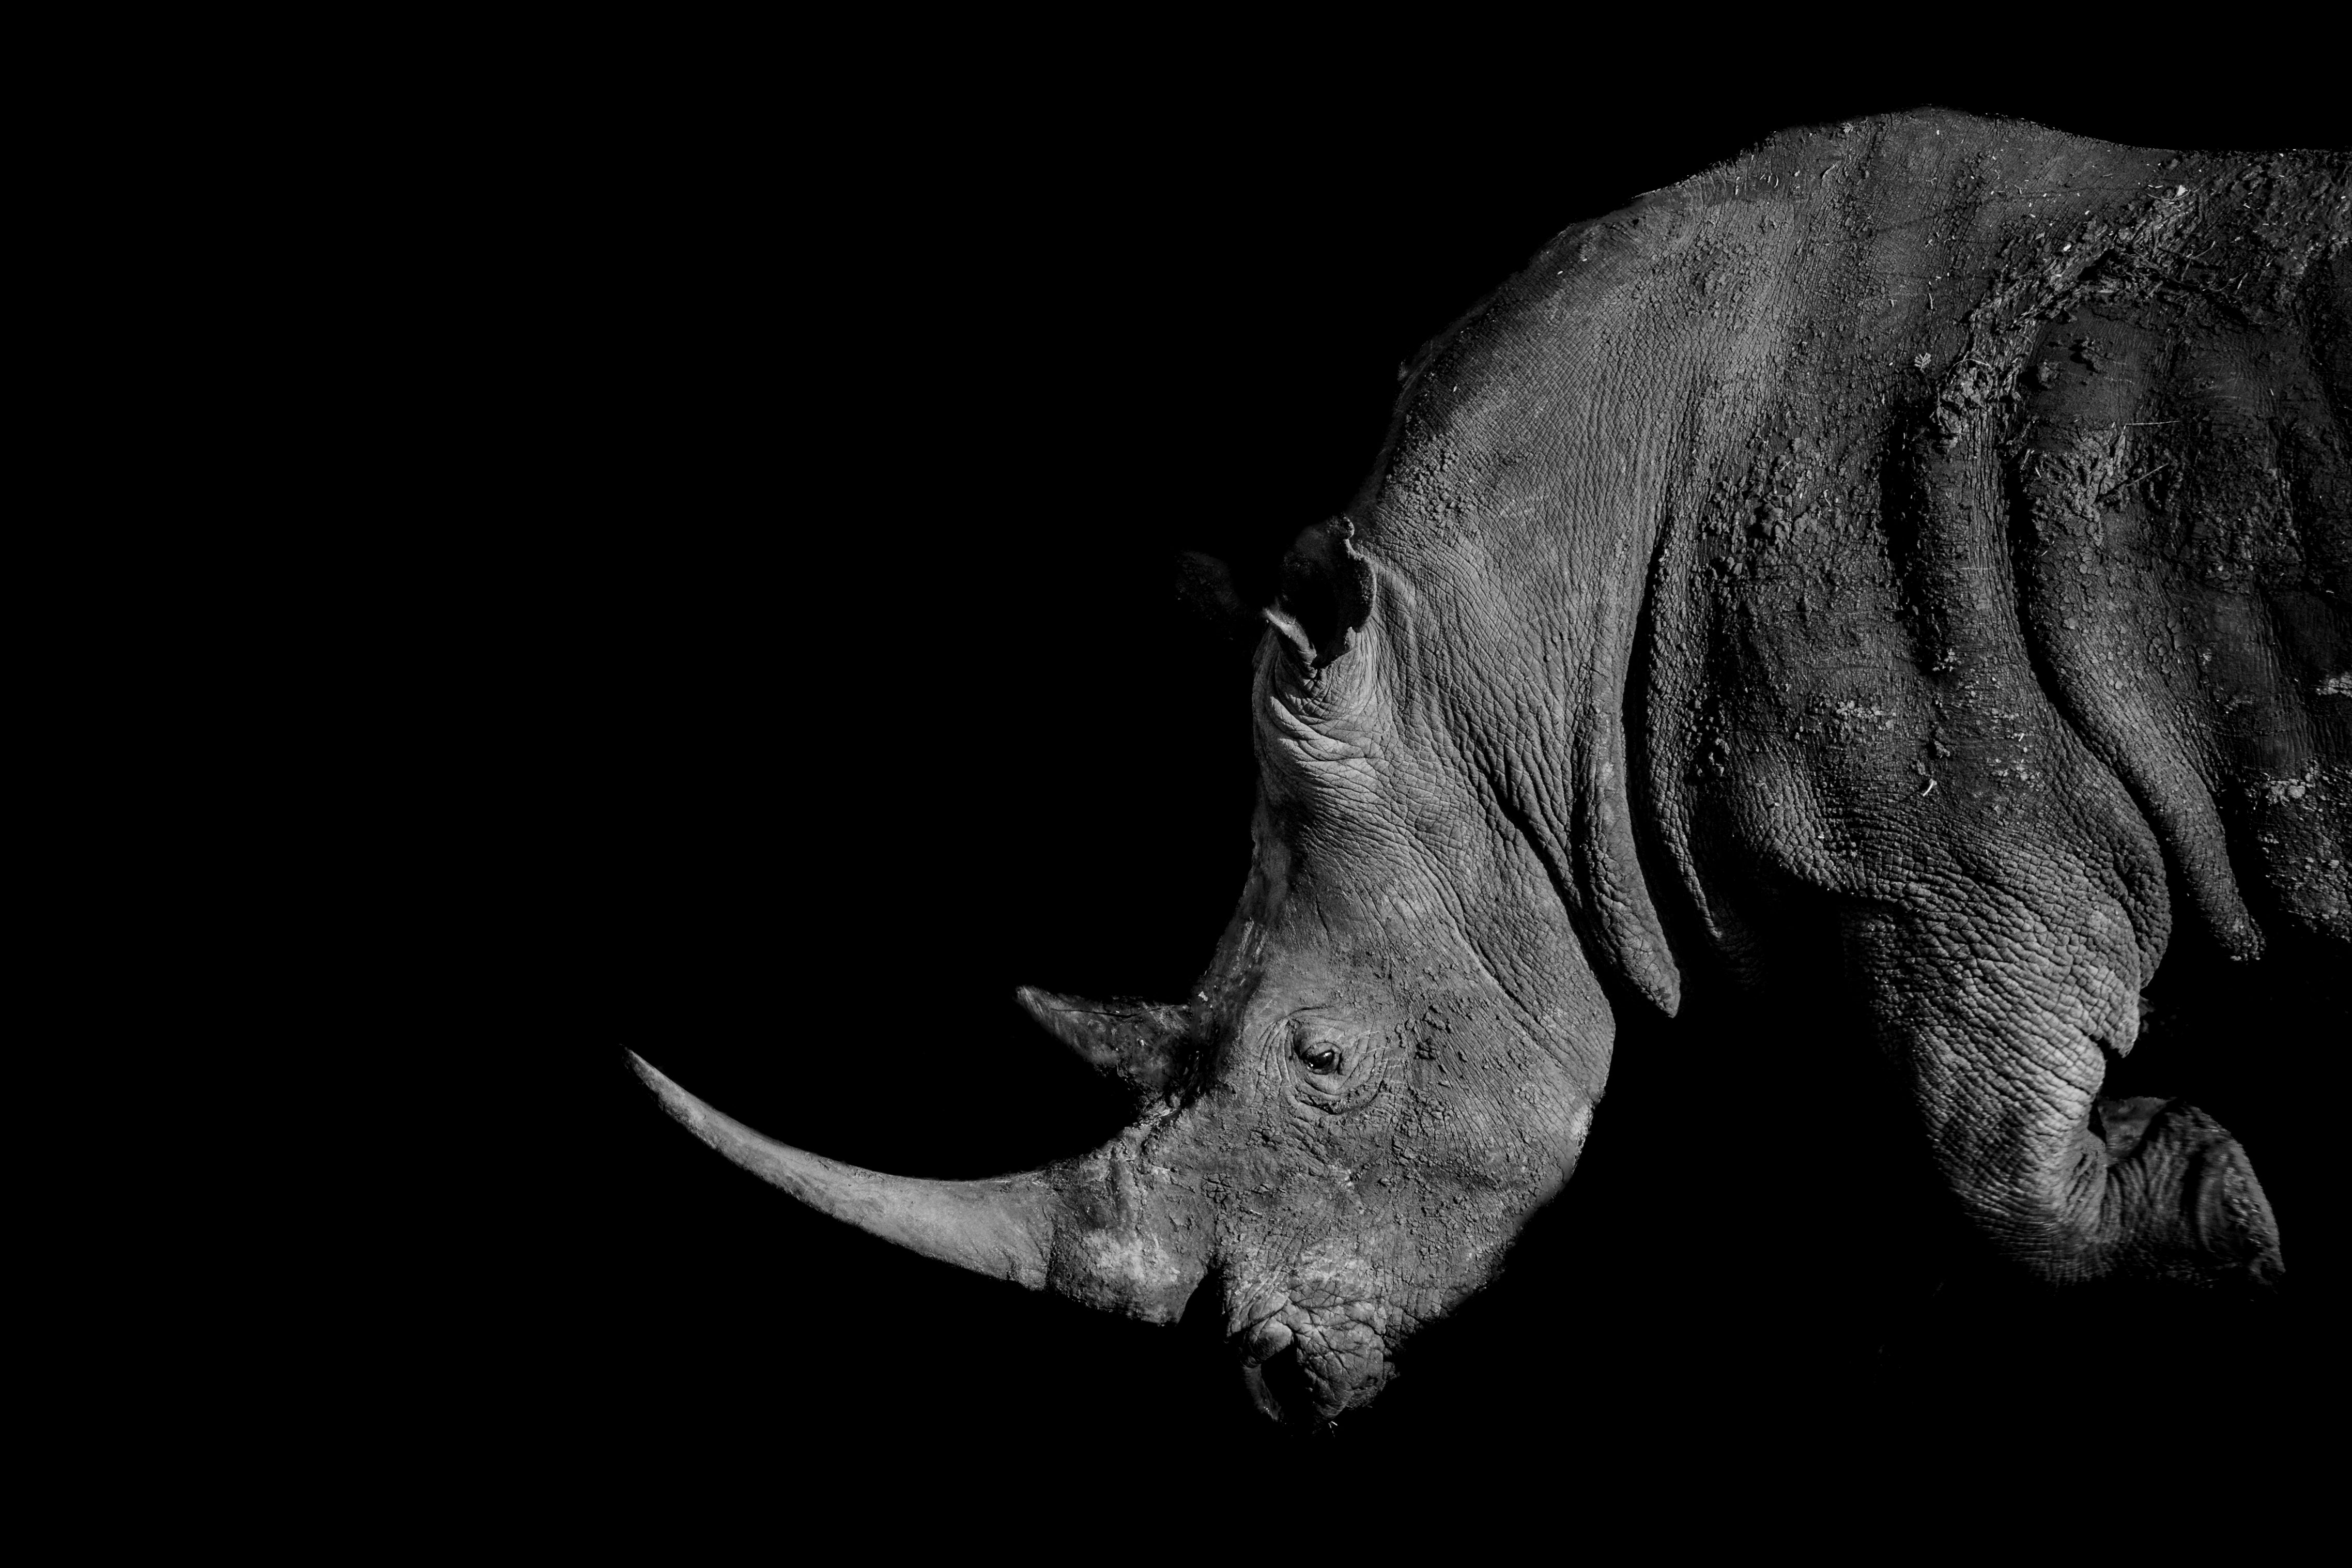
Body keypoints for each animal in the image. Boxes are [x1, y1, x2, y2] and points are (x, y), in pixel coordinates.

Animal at [633, 109, 2347, 1427]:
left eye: (1325, 1061)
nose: (1274, 1380)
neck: (1501, 655)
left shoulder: (1979, 858)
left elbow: (1990, 1152)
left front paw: (2228, 1218)